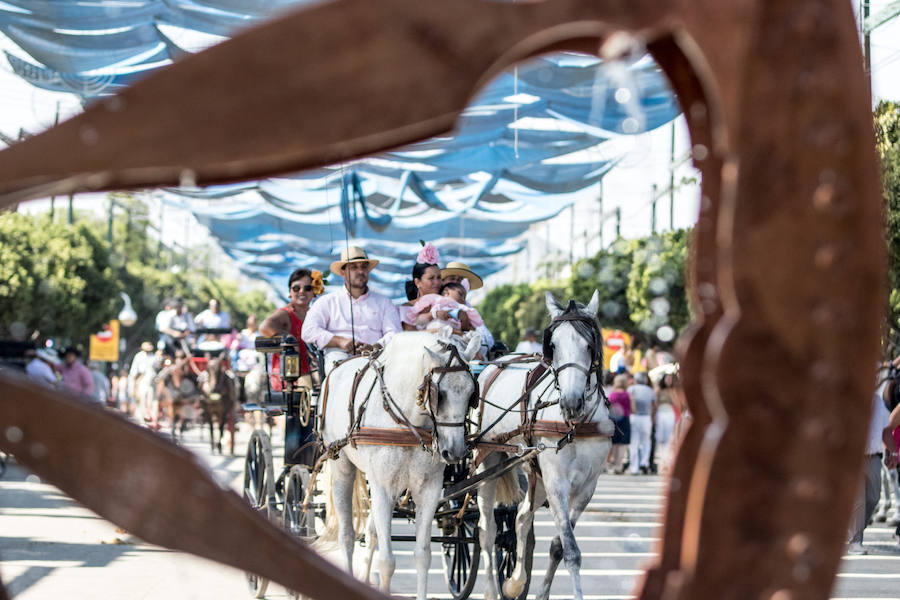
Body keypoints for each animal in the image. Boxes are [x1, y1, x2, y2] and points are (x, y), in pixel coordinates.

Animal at [322, 330, 482, 600]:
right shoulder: (383, 487)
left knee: (371, 533)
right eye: (440, 394)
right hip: (343, 467)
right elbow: (387, 561)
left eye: (472, 393)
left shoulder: (428, 490)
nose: (456, 451)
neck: (407, 422)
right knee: (347, 536)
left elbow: (422, 556)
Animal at [478, 290, 612, 600]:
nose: (571, 402)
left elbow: (559, 545)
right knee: (487, 529)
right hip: (488, 459)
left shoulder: (586, 487)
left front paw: (539, 592)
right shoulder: (557, 482)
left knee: (521, 519)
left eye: (589, 345)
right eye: (553, 345)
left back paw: (515, 581)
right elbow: (572, 551)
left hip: (535, 474)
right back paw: (491, 588)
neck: (575, 425)